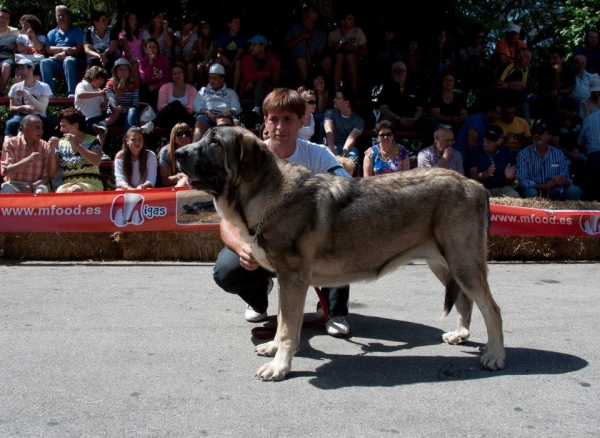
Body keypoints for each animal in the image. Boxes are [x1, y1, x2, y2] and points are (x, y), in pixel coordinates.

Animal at [175, 126, 506, 380]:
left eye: (215, 143)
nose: (178, 153)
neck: (268, 196)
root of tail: (476, 185)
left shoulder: (292, 279)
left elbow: (288, 327)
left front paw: (280, 365)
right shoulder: (286, 281)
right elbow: (282, 321)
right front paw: (274, 349)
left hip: (463, 262)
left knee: (492, 309)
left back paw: (495, 355)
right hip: (444, 263)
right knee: (465, 301)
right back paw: (460, 334)